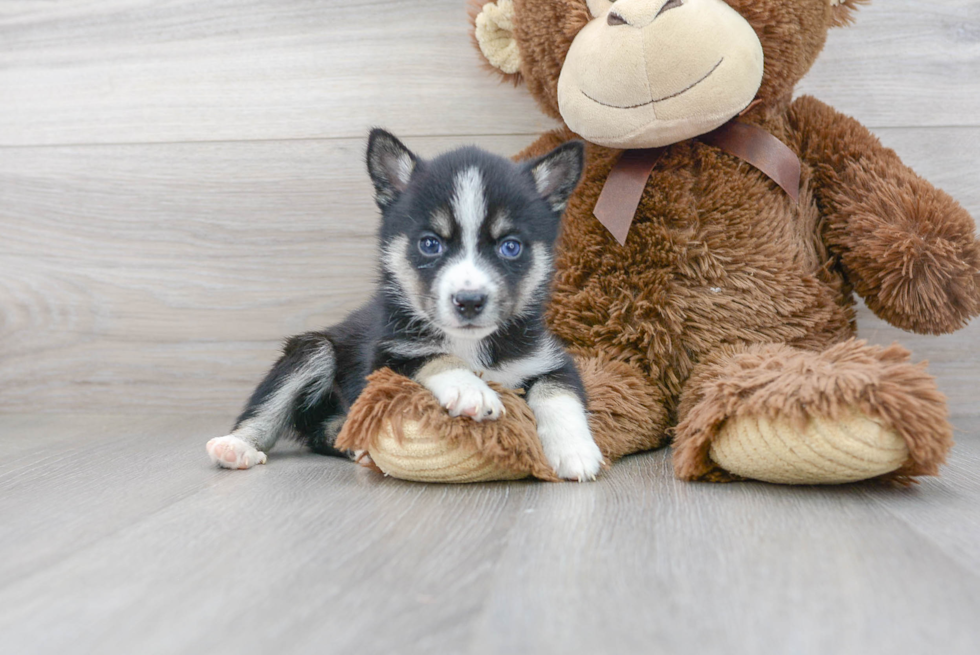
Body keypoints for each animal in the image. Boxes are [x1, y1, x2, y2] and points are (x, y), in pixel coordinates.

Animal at [206, 131, 600, 480]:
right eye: (430, 244)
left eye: (511, 247)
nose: (469, 301)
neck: (470, 344)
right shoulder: (387, 358)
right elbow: (436, 357)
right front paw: (470, 389)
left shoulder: (551, 359)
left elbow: (559, 395)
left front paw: (575, 450)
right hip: (313, 348)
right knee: (270, 407)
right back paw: (237, 446)